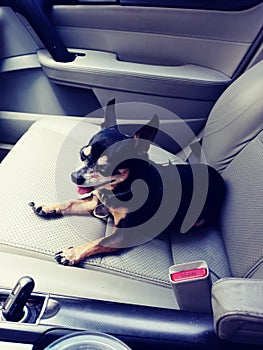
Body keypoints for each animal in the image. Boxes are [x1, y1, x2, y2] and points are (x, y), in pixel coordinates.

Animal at [30, 100, 225, 266]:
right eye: (82, 155)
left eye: (106, 167)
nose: (74, 176)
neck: (116, 191)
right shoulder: (94, 202)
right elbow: (70, 202)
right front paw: (48, 206)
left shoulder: (123, 235)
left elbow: (98, 241)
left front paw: (72, 253)